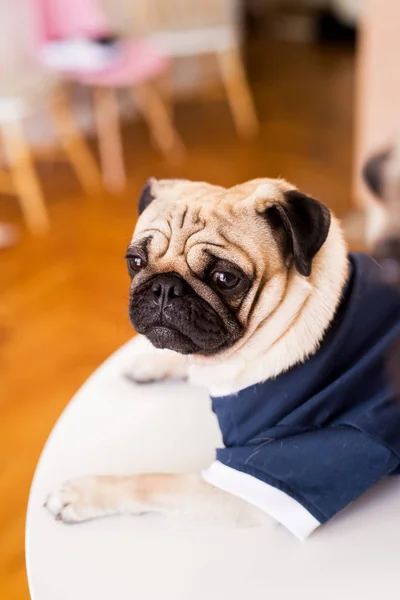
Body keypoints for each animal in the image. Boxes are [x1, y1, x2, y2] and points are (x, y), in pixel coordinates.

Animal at [45, 177, 400, 540]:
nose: (165, 287)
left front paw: (83, 494)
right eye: (135, 262)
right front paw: (152, 363)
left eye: (225, 279)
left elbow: (149, 482)